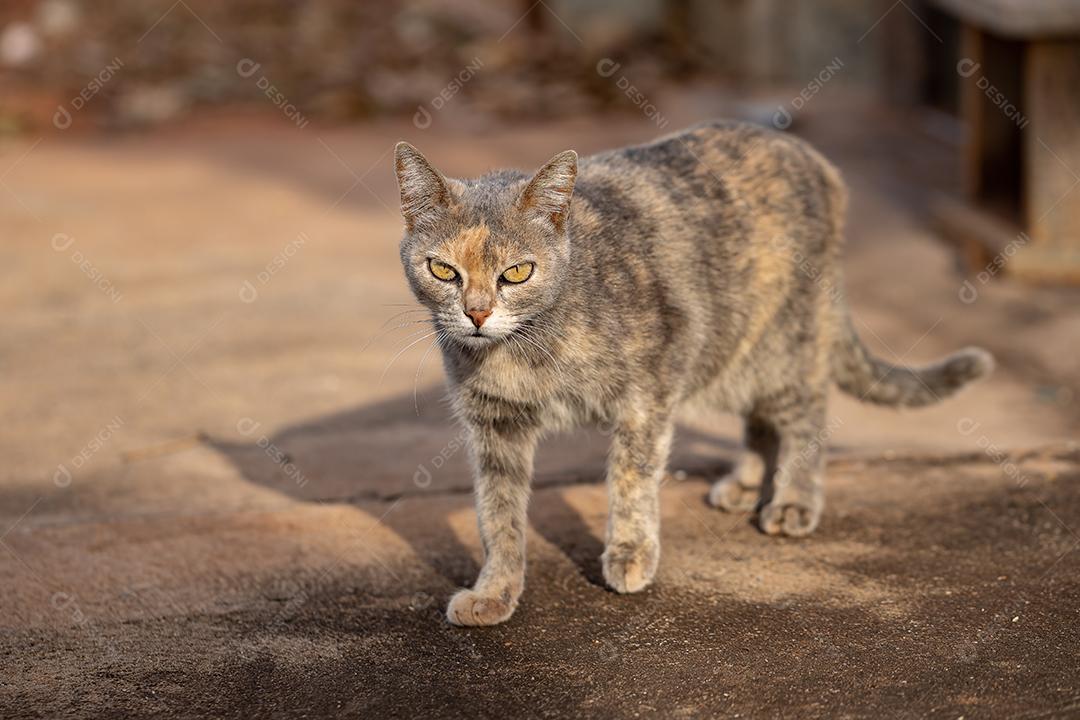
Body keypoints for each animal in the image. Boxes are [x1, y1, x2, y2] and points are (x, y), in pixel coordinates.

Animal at [393, 120, 989, 626]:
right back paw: (746, 483)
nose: (476, 314)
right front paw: (495, 591)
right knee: (760, 418)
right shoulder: (494, 425)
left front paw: (630, 554)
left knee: (807, 411)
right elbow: (498, 514)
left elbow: (631, 478)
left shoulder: (647, 391)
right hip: (732, 351)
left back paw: (793, 500)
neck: (523, 353)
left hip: (783, 342)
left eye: (517, 273)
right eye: (443, 270)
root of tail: (814, 157)